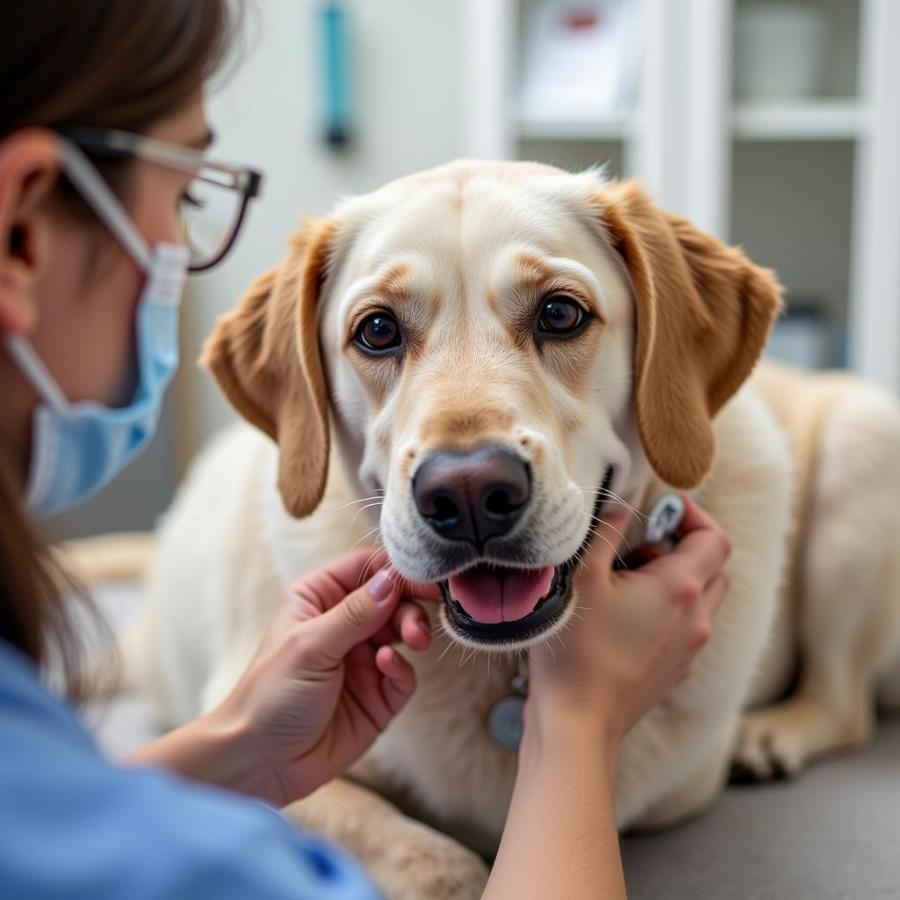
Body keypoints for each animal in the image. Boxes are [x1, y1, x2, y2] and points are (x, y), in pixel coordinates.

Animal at [134, 163, 900, 900]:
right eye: (377, 331)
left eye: (560, 313)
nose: (470, 494)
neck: (504, 670)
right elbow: (405, 842)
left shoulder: (682, 785)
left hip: (863, 448)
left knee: (846, 705)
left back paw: (770, 735)